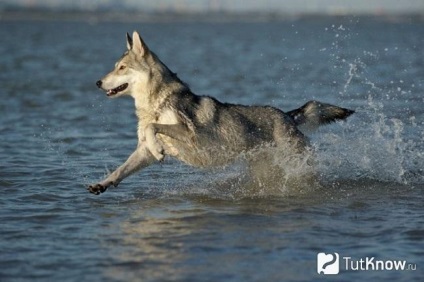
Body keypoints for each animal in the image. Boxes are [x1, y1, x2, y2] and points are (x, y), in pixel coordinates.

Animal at [88, 30, 354, 194]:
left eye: (122, 68)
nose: (97, 83)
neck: (153, 106)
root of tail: (288, 115)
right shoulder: (142, 151)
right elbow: (122, 168)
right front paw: (102, 184)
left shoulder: (188, 133)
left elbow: (154, 128)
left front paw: (159, 149)